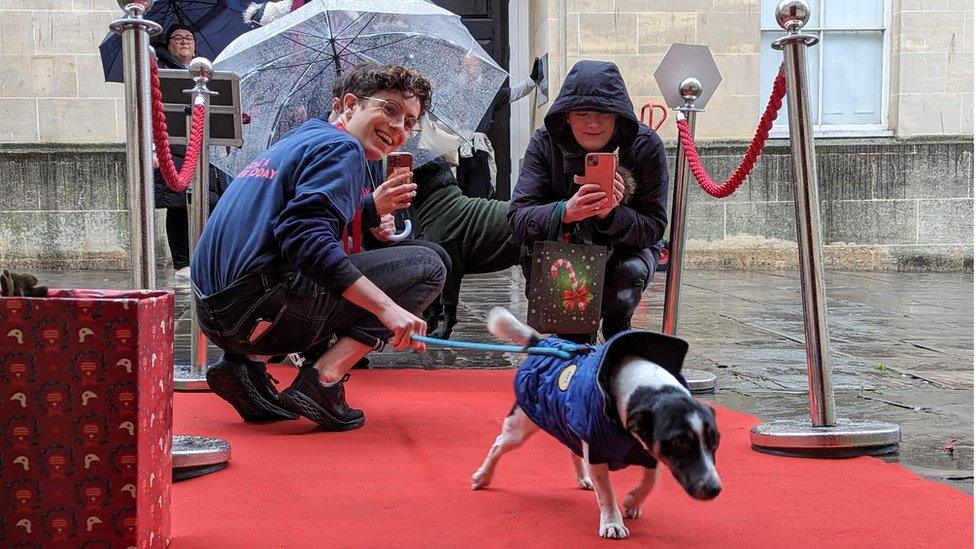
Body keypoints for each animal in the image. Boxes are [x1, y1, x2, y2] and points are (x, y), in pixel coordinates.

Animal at [472, 308, 716, 540]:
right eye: (679, 442)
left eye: (715, 442)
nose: (715, 489)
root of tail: (540, 342)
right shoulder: (597, 449)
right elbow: (607, 493)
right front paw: (613, 522)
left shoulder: (647, 449)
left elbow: (651, 480)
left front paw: (633, 502)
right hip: (522, 424)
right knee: (499, 444)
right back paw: (483, 476)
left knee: (573, 450)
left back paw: (583, 478)